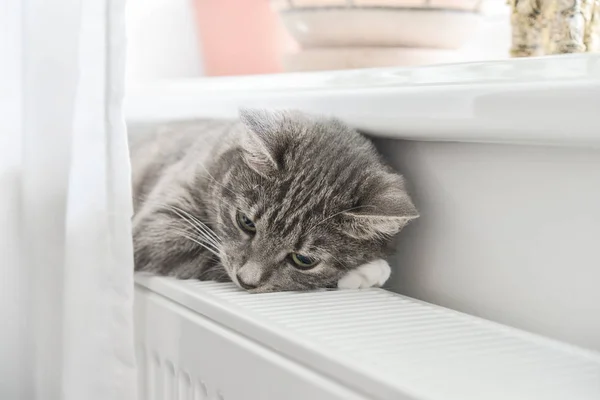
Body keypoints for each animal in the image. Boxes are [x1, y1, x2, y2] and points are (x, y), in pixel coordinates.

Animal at [130, 111, 418, 292]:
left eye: (303, 260)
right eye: (246, 222)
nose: (246, 281)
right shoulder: (157, 227)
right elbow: (207, 254)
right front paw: (364, 272)